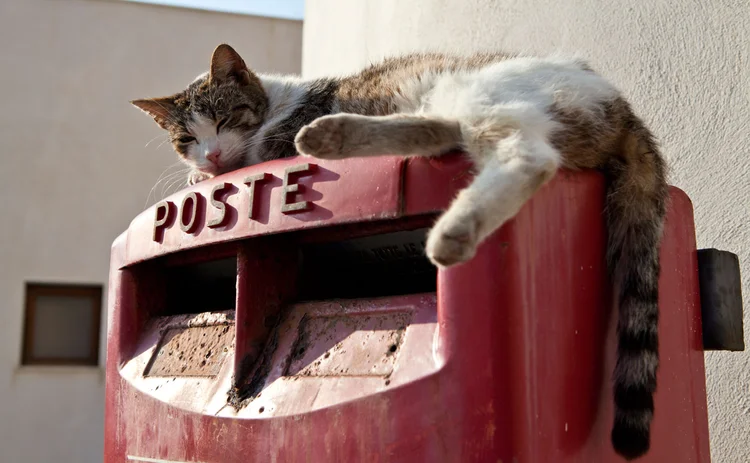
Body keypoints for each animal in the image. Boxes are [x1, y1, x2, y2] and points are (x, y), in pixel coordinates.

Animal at [132, 43, 668, 460]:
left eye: (223, 118)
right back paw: (337, 135)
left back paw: (447, 230)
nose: (211, 155)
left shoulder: (271, 142)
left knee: (529, 157)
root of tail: (622, 109)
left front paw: (203, 175)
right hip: (457, 105)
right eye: (186, 138)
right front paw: (198, 172)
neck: (278, 100)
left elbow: (260, 152)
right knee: (442, 131)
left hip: (482, 95)